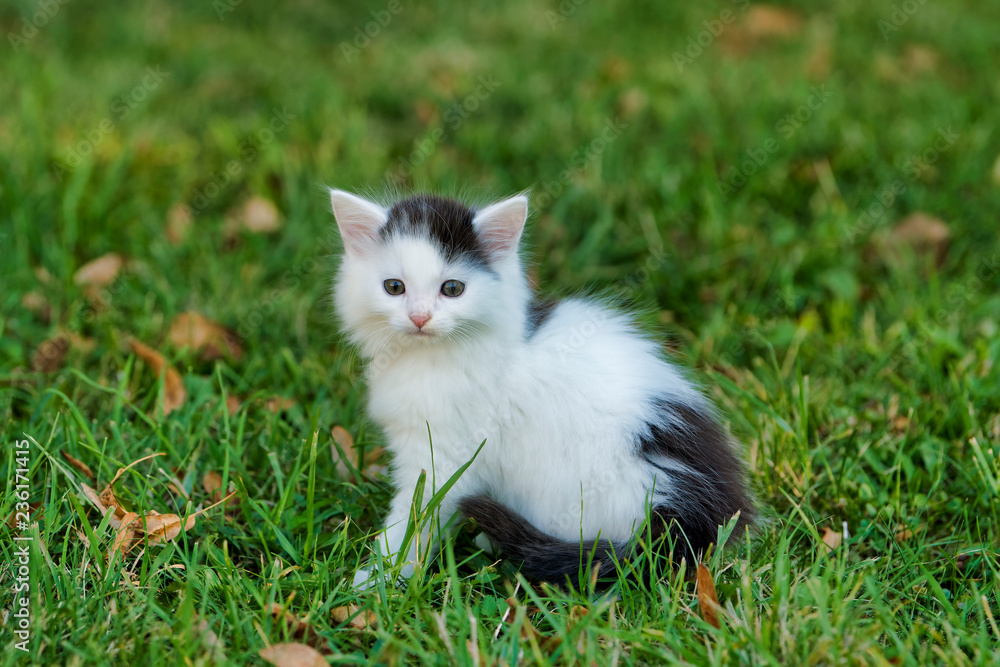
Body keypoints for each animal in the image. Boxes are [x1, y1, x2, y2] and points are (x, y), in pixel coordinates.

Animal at [332, 190, 752, 588]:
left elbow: (416, 514)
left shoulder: (445, 453)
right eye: (394, 287)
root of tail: (697, 513)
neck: (434, 358)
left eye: (452, 288)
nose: (419, 317)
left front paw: (380, 576)